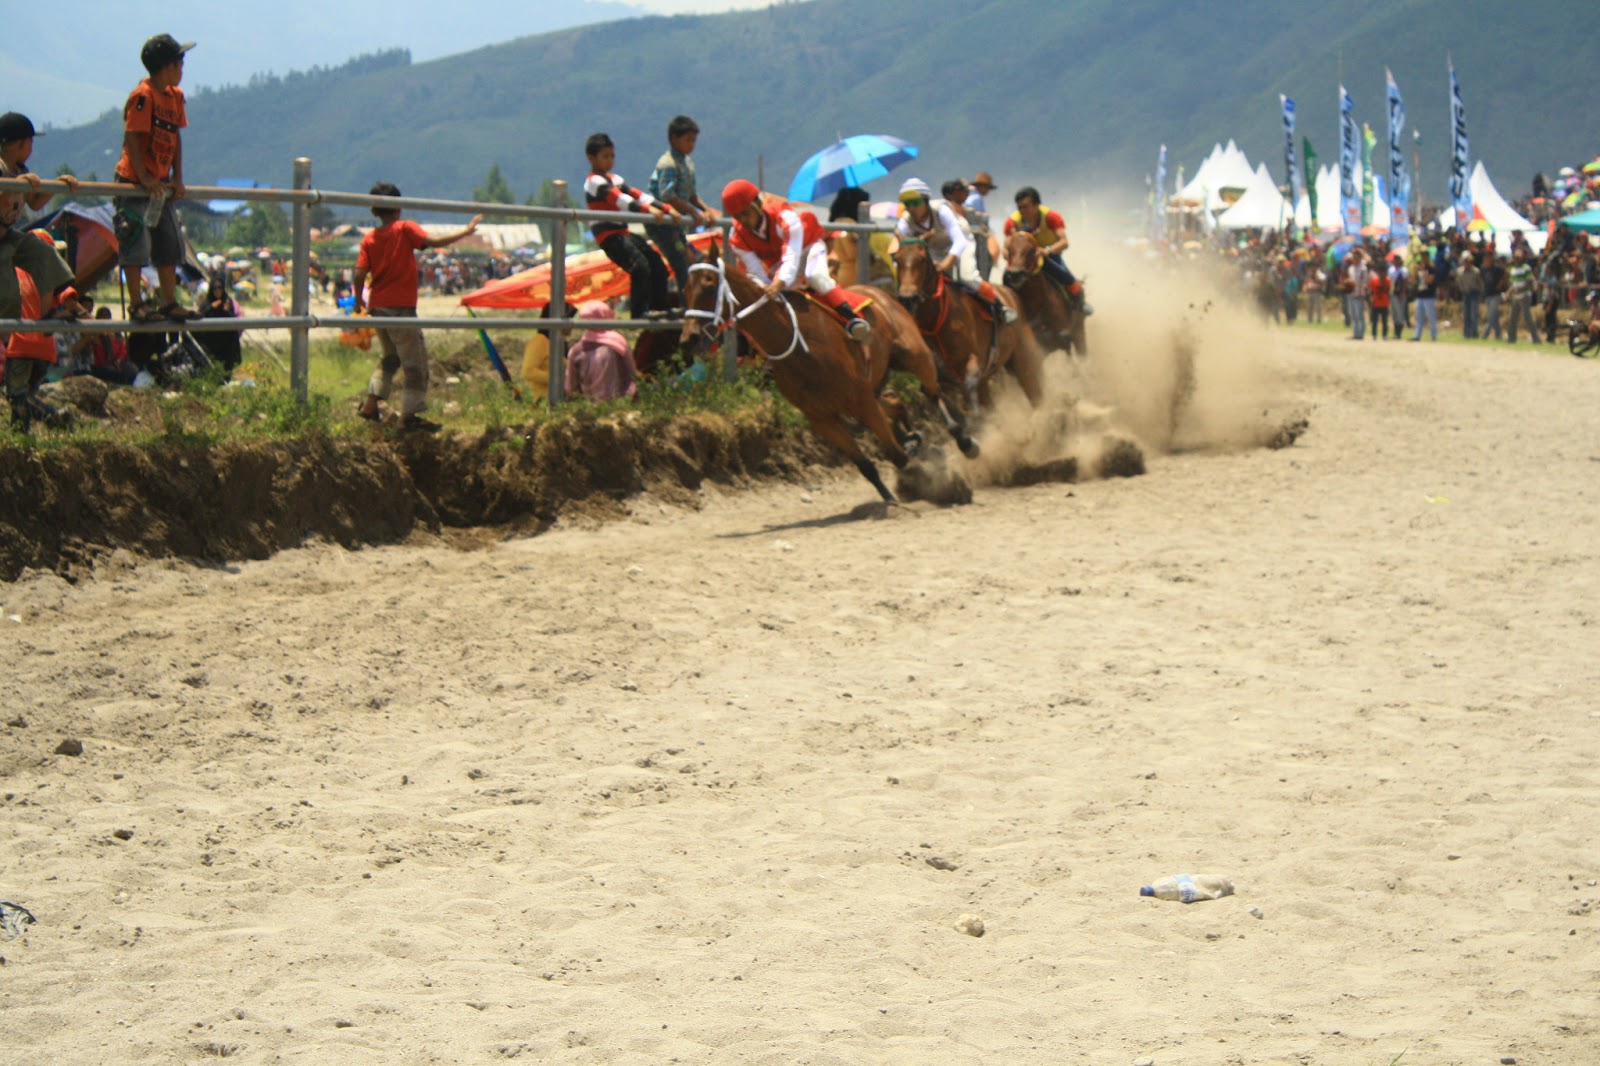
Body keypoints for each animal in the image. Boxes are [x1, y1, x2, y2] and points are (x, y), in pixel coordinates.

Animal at [678, 244, 972, 502]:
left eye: (708, 283)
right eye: (685, 288)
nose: (689, 338)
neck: (799, 346)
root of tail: (880, 292)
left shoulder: (861, 401)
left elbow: (896, 454)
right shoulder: (822, 418)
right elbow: (866, 464)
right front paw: (891, 495)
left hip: (914, 355)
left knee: (933, 393)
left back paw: (963, 440)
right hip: (873, 386)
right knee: (896, 401)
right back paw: (914, 435)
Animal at [896, 236, 1043, 409]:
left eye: (922, 259)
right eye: (896, 259)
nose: (907, 298)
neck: (935, 321)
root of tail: (1011, 294)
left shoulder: (974, 361)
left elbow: (971, 383)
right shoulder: (938, 374)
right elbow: (931, 390)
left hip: (1023, 358)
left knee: (1034, 392)